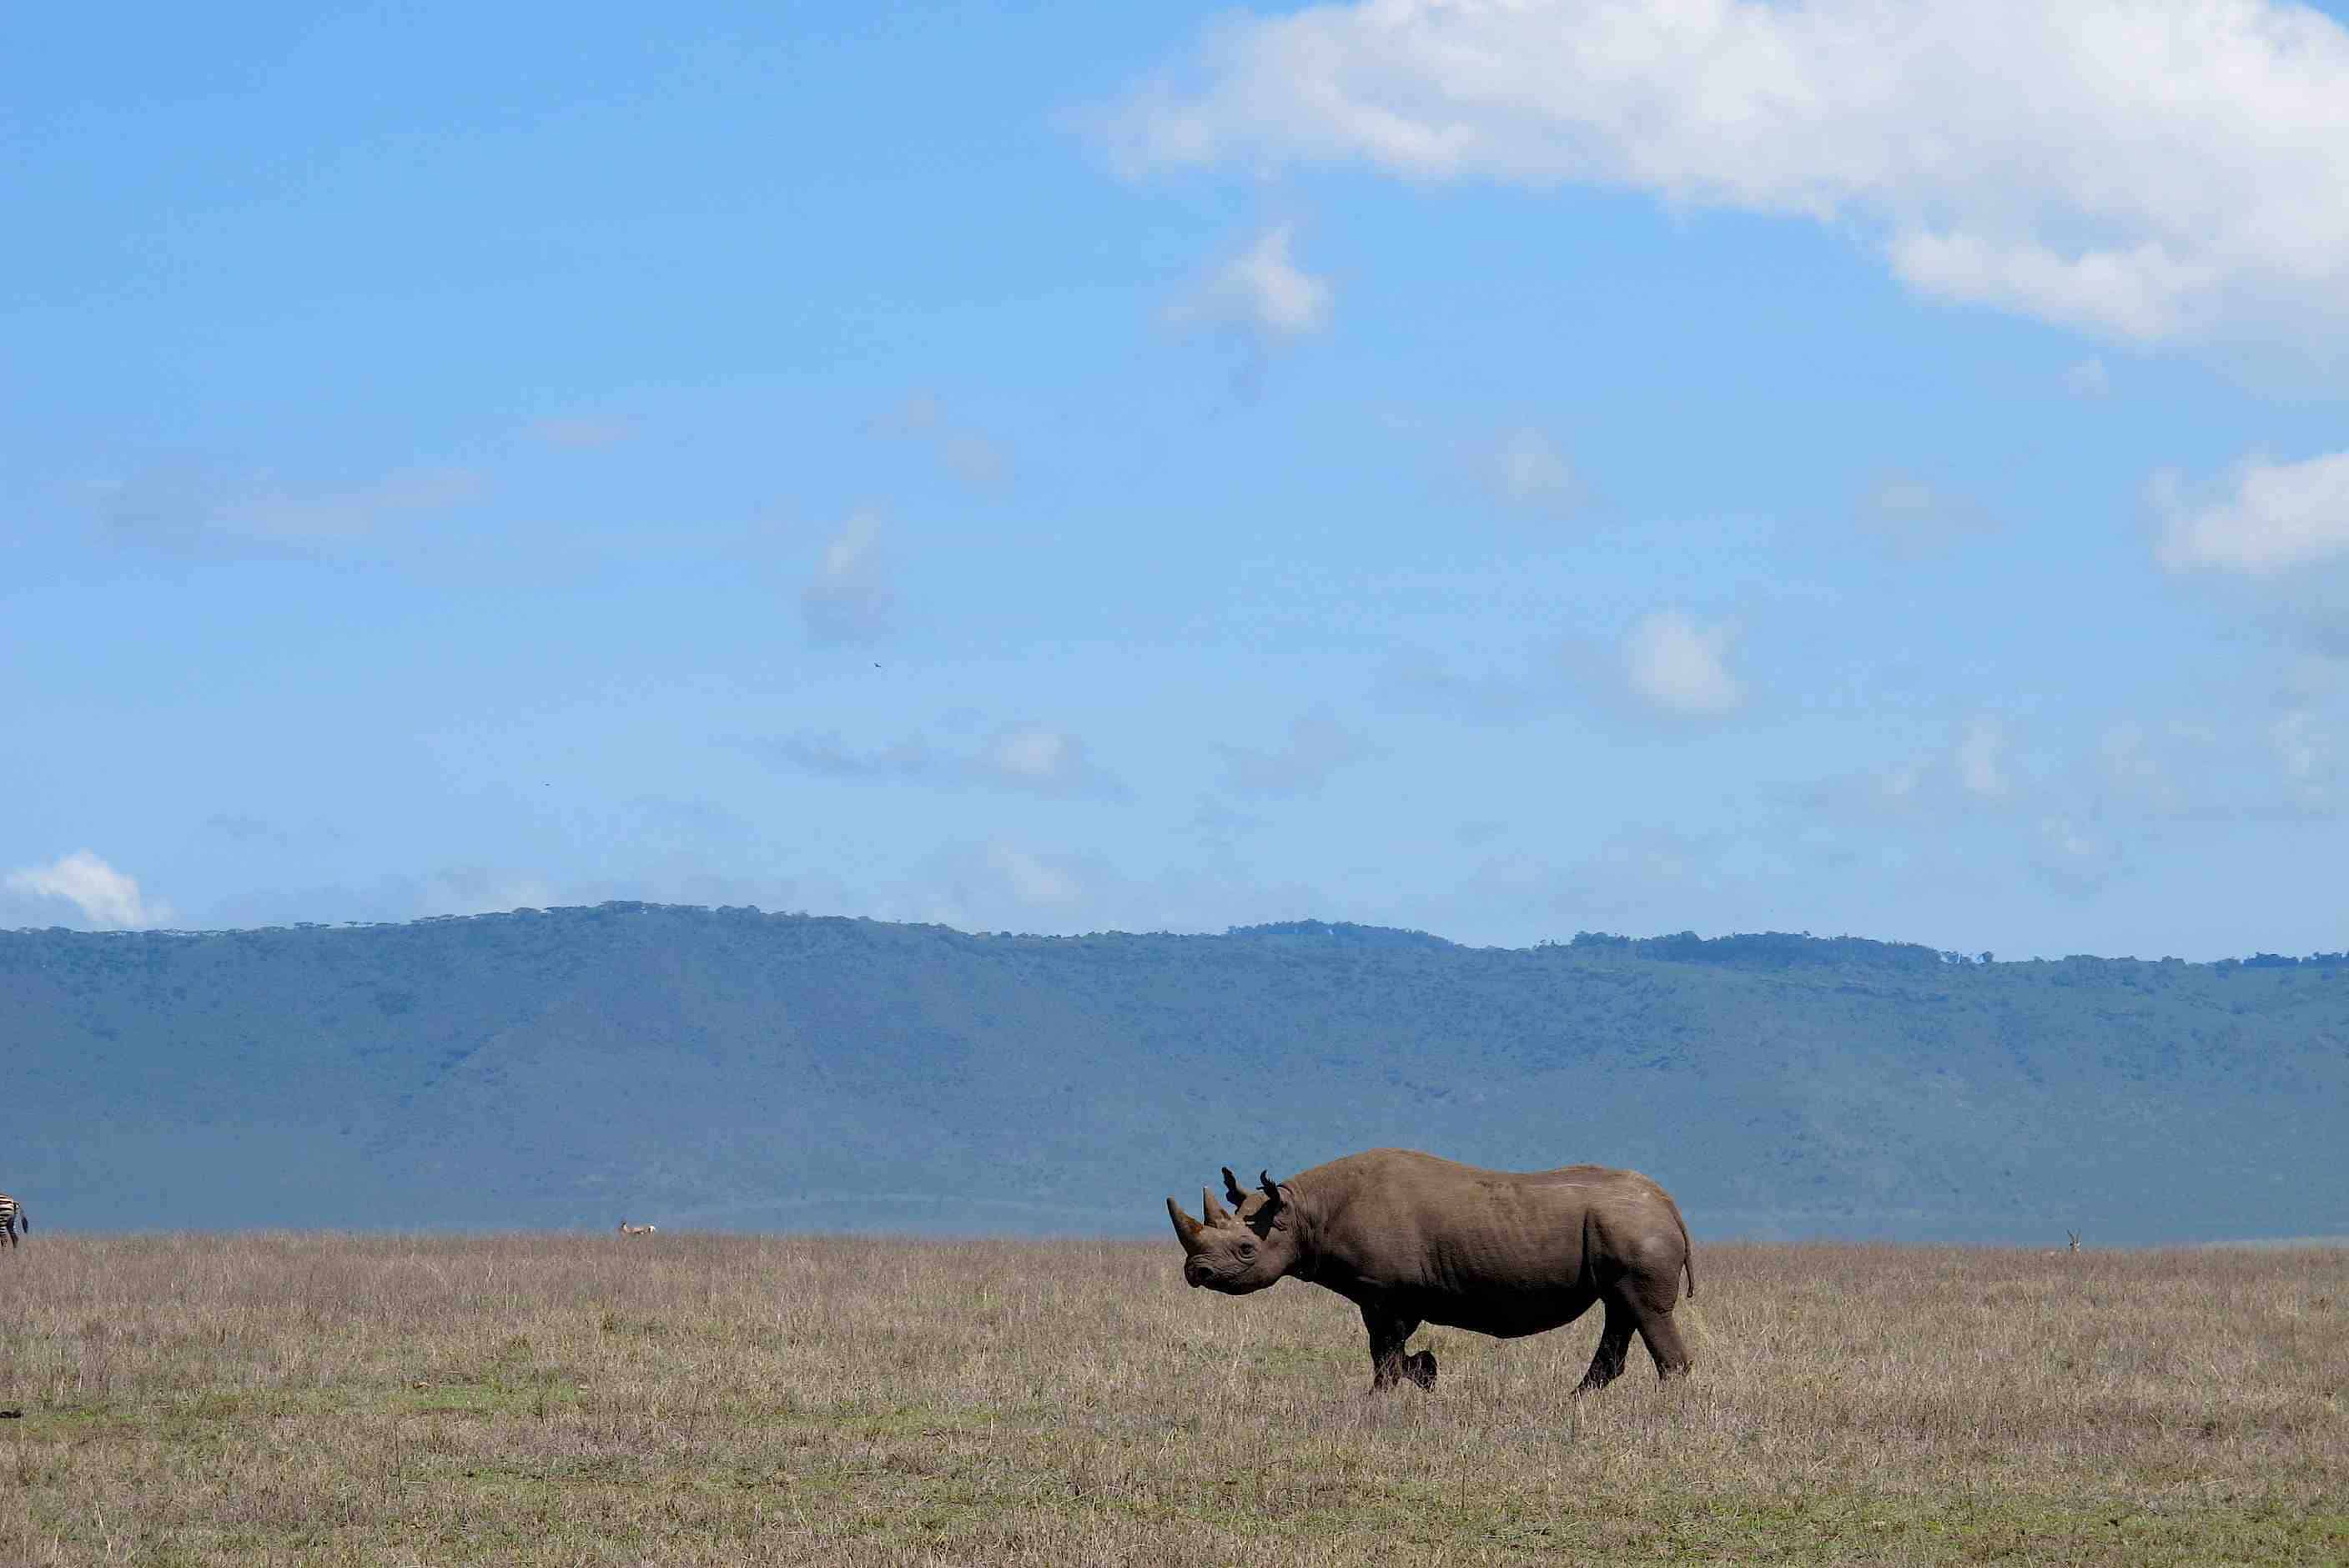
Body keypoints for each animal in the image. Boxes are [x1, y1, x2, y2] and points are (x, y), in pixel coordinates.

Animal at [1166, 1148, 1696, 1395]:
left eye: (1245, 1250)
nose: (1197, 1273)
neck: (1304, 1212)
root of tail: (1669, 1204)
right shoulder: (1391, 1294)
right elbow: (1389, 1350)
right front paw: (1425, 1372)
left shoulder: (1384, 1290)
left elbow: (1384, 1351)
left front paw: (1392, 1391)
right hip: (1624, 1227)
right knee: (1620, 1310)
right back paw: (1576, 1401)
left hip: (1634, 1228)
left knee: (1645, 1311)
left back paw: (1666, 1407)